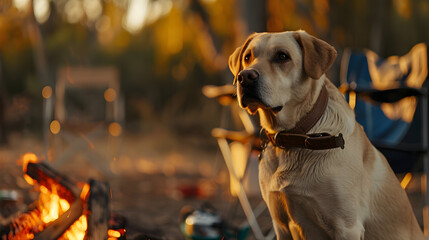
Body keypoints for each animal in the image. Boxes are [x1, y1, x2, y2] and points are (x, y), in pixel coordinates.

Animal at [227, 30, 422, 240]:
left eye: (282, 56)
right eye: (247, 57)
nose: (245, 76)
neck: (296, 136)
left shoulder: (346, 227)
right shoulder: (281, 226)